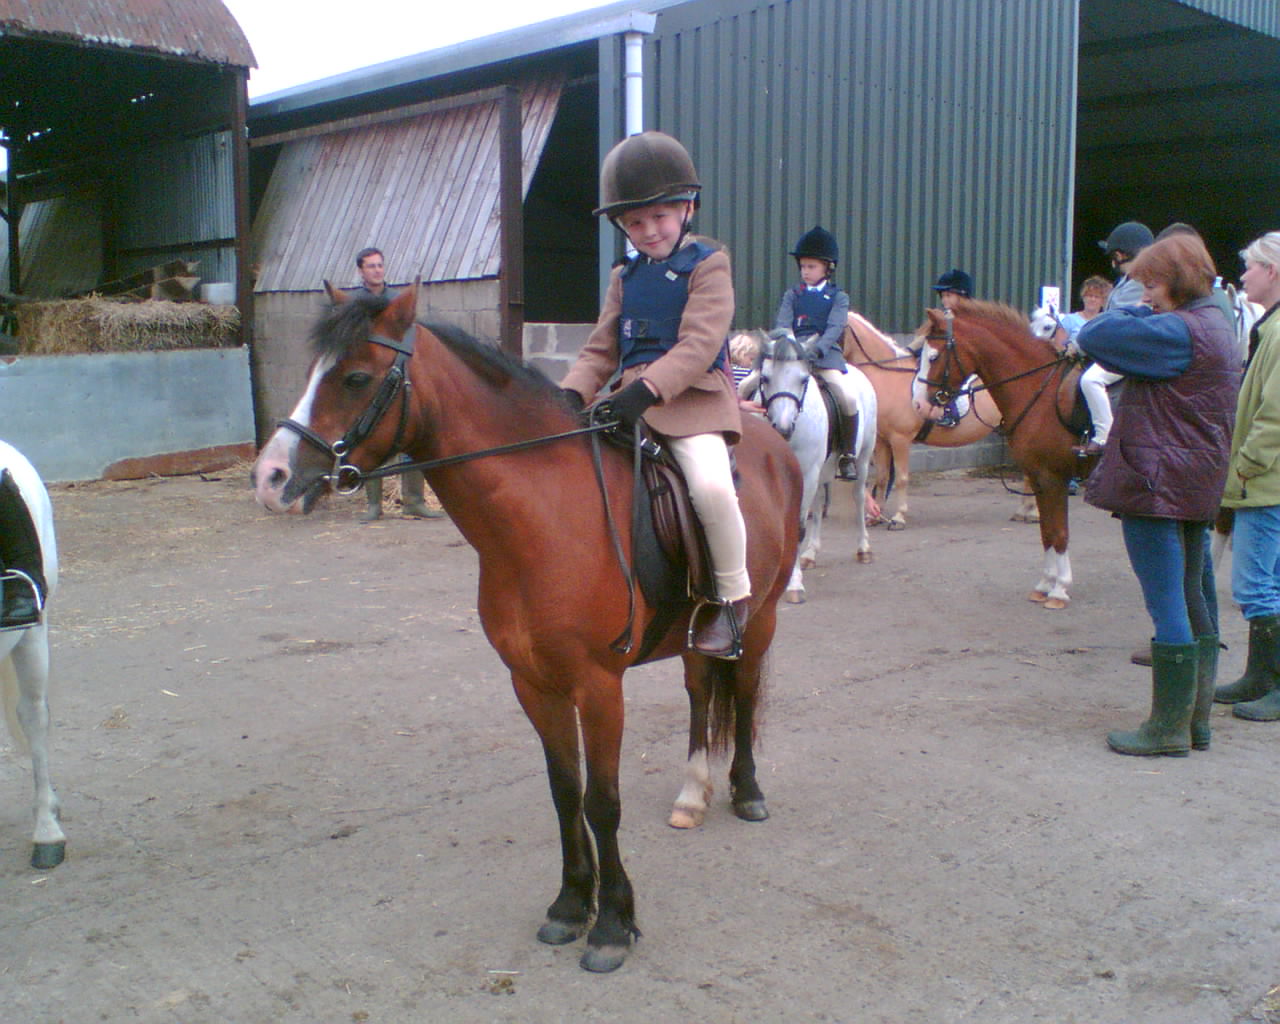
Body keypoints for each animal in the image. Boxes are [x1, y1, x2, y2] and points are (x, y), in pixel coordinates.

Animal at [251, 284, 802, 973]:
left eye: (355, 377)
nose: (269, 478)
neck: (543, 515)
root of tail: (772, 442)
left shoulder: (598, 687)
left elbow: (602, 801)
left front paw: (612, 924)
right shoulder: (533, 683)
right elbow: (565, 792)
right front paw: (570, 905)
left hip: (763, 616)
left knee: (745, 692)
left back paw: (746, 792)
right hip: (696, 635)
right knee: (702, 690)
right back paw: (692, 795)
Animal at [751, 330, 877, 603]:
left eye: (803, 379)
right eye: (765, 378)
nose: (782, 428)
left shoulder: (807, 474)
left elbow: (797, 527)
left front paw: (794, 584)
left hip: (862, 459)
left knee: (859, 497)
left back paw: (864, 549)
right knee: (819, 504)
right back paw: (810, 554)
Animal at [843, 311, 1010, 528]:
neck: (889, 377)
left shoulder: (900, 439)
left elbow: (901, 478)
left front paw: (898, 517)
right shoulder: (882, 441)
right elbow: (882, 477)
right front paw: (875, 516)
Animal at [916, 300, 1090, 609]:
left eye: (934, 356)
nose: (922, 404)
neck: (1040, 392)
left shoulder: (1053, 478)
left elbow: (1059, 533)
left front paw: (1059, 590)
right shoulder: (1039, 477)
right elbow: (1047, 532)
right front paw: (1045, 584)